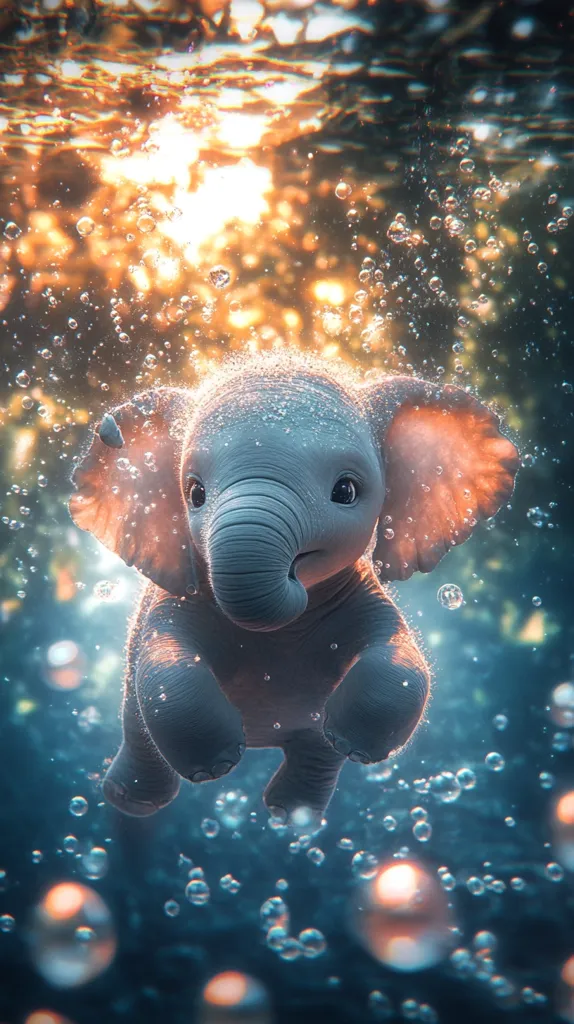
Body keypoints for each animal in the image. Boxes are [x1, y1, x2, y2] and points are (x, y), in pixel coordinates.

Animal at [69, 352, 519, 826]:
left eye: (346, 491)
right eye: (195, 494)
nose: (292, 576)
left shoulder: (361, 593)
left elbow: (400, 658)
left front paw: (353, 742)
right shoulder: (178, 598)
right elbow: (165, 664)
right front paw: (215, 766)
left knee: (316, 749)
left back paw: (291, 814)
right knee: (139, 729)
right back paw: (131, 801)